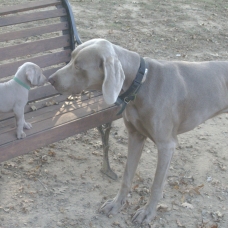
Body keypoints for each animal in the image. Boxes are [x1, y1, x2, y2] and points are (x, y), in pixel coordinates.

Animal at [48, 38, 228, 224]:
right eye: (70, 58)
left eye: (78, 66)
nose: (50, 79)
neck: (140, 83)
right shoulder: (135, 136)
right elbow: (127, 175)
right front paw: (116, 204)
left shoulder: (166, 145)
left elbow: (156, 185)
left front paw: (147, 214)